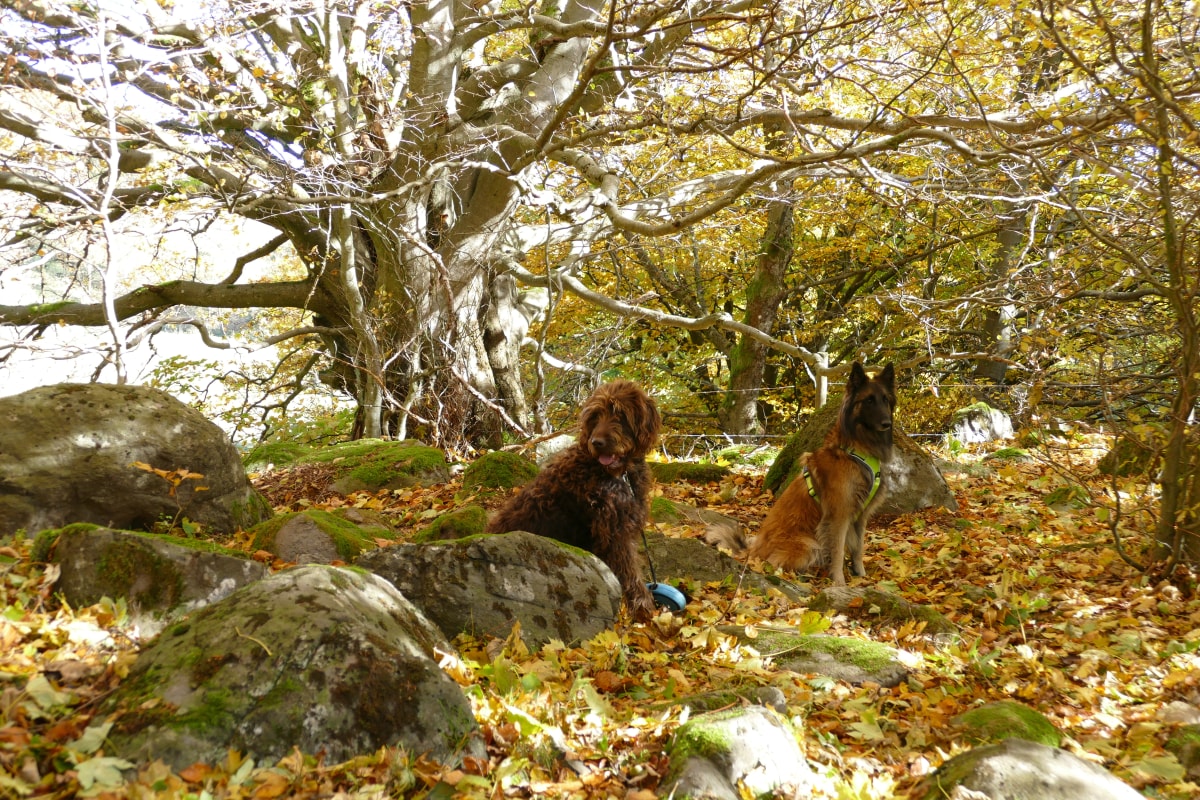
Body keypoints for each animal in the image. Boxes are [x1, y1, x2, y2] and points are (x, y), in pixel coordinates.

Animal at [482, 381, 662, 618]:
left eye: (620, 414)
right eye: (595, 416)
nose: (597, 442)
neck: (616, 473)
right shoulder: (614, 535)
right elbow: (630, 573)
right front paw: (643, 608)